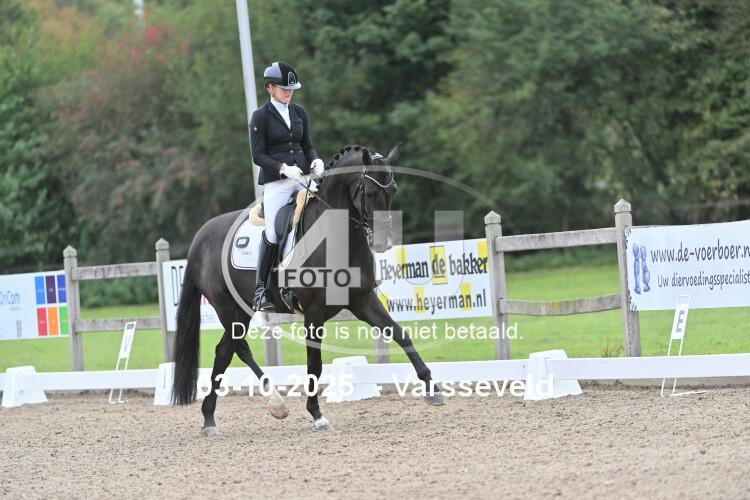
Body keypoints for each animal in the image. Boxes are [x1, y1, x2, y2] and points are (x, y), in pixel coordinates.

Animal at [171, 144, 443, 435]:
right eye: (369, 192)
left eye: (393, 190)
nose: (383, 243)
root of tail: (200, 236)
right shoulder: (313, 312)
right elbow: (315, 364)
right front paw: (317, 415)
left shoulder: (362, 300)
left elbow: (401, 335)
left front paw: (432, 389)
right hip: (228, 308)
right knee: (234, 348)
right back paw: (261, 407)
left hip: (241, 310)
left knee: (226, 350)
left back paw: (221, 416)